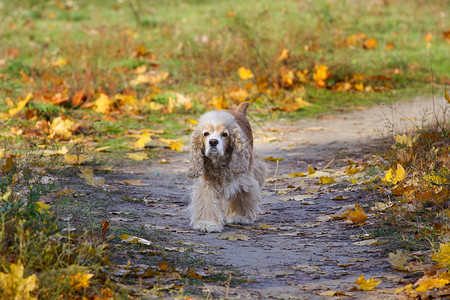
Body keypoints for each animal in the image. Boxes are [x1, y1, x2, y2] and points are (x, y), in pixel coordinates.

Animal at [187, 102, 266, 232]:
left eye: (225, 134)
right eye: (206, 134)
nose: (213, 142)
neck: (218, 161)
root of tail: (238, 111)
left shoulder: (243, 179)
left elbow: (241, 195)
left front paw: (240, 216)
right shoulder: (207, 183)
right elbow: (207, 201)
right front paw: (207, 223)